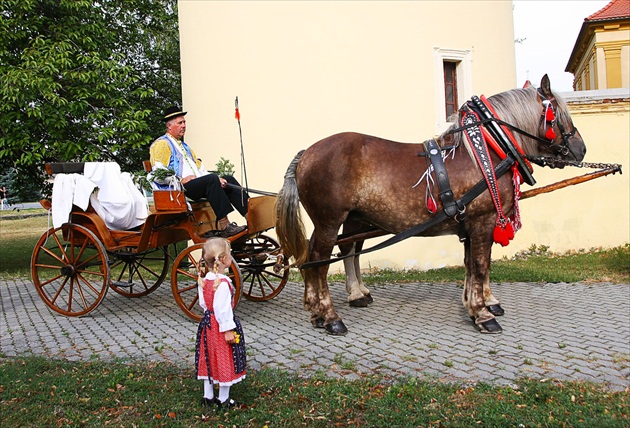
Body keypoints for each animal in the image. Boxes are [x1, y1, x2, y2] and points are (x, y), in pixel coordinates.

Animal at [278, 77, 592, 338]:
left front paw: (474, 304)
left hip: (347, 220)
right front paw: (483, 313)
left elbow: (472, 264)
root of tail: (306, 153)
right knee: (320, 260)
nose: (581, 149)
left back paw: (320, 307)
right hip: (329, 221)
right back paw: (330, 316)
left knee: (328, 253)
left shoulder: (472, 224)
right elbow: (481, 265)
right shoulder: (484, 221)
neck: (486, 149)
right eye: (559, 115)